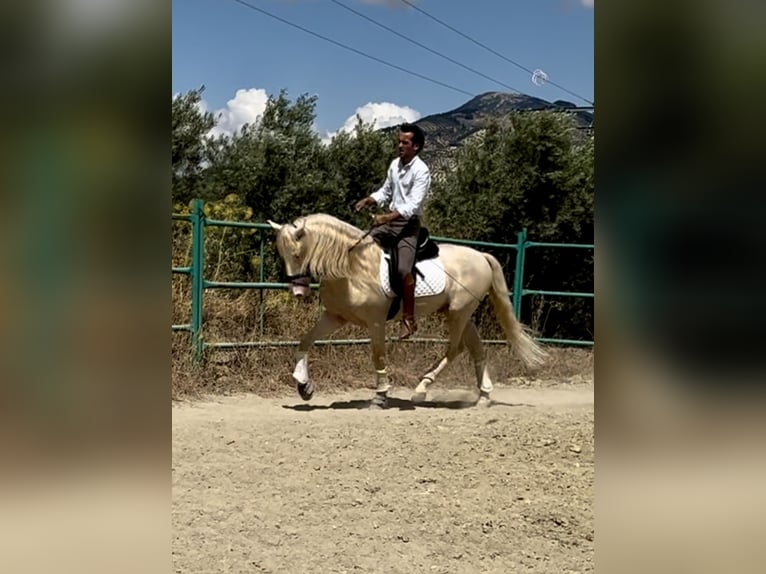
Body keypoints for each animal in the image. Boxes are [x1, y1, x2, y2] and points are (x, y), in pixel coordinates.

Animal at [268, 215, 544, 410]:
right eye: (282, 255)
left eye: (297, 254)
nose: (298, 292)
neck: (353, 269)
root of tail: (481, 255)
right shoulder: (335, 316)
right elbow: (306, 340)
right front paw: (304, 385)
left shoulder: (376, 322)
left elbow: (378, 356)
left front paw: (380, 396)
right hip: (459, 314)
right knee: (476, 349)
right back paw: (483, 397)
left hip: (458, 313)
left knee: (455, 349)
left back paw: (422, 389)